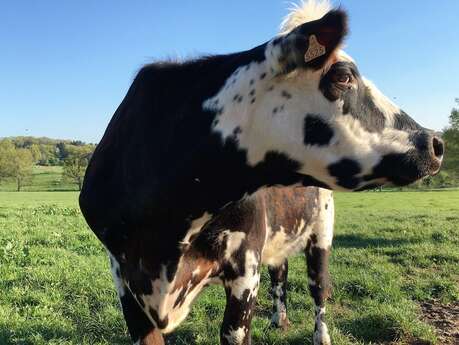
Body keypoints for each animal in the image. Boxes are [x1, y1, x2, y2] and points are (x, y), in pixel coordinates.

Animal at [79, 1, 446, 342]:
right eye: (343, 76)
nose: (435, 143)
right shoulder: (125, 282)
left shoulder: (245, 270)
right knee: (280, 274)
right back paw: (278, 319)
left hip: (322, 234)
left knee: (319, 290)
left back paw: (321, 335)